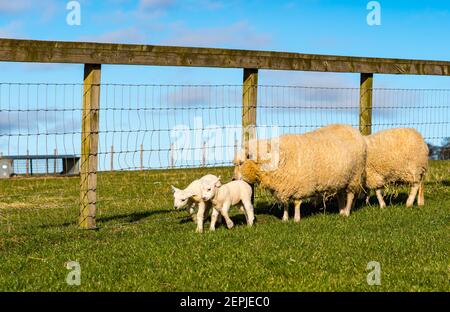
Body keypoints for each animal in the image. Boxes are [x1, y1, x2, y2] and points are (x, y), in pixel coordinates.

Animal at [234, 124, 368, 222]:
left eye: (241, 162)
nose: (233, 179)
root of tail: (355, 131)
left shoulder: (300, 185)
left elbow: (297, 203)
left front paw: (297, 219)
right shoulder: (285, 185)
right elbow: (286, 203)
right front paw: (285, 218)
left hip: (354, 176)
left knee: (350, 195)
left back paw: (347, 212)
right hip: (341, 179)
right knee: (340, 195)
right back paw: (341, 211)